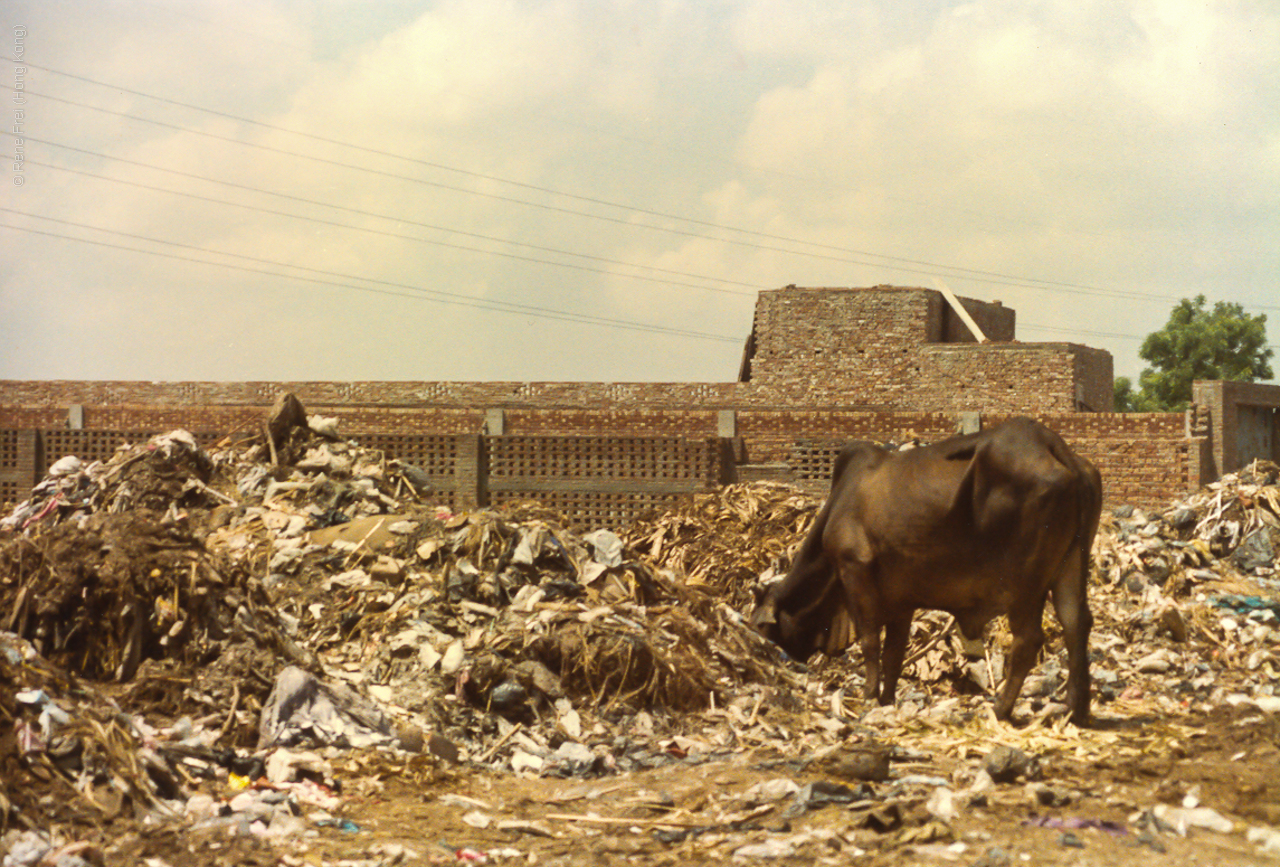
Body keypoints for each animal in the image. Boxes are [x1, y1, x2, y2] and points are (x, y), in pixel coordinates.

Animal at [747, 417, 1100, 722]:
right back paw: (1076, 708)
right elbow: (893, 653)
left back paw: (1001, 709)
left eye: (761, 627)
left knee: (1028, 640)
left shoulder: (855, 572)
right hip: (1071, 566)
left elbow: (870, 641)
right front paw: (887, 698)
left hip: (1025, 584)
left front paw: (869, 695)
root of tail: (1058, 449)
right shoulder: (900, 602)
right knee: (1077, 624)